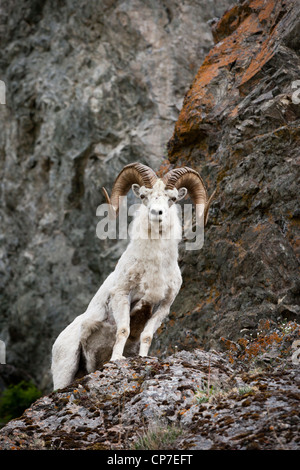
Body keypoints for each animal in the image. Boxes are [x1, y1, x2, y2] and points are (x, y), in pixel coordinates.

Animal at [52, 162, 216, 390]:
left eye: (172, 198)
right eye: (144, 196)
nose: (157, 213)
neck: (153, 268)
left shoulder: (162, 307)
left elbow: (146, 336)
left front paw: (144, 358)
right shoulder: (122, 296)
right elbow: (123, 330)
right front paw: (116, 359)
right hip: (66, 370)